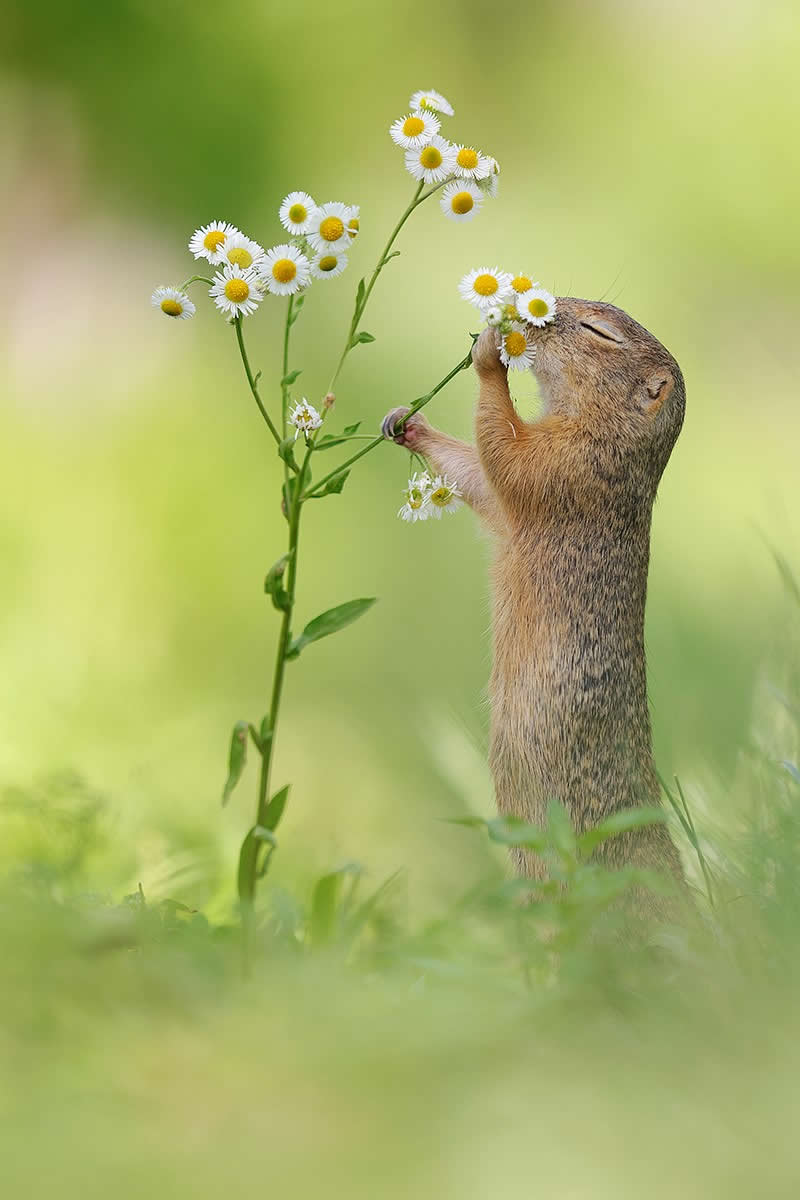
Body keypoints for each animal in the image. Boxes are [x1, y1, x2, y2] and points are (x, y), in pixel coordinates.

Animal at [382, 297, 686, 895]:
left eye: (599, 331)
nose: (532, 310)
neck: (612, 437)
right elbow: (479, 478)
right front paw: (406, 423)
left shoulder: (567, 465)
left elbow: (504, 453)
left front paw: (488, 352)